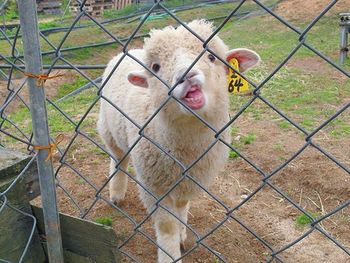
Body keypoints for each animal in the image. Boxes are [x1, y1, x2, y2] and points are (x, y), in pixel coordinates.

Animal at [97, 20, 262, 263]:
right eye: (156, 67)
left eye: (211, 56)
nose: (186, 75)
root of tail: (127, 52)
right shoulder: (153, 186)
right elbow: (167, 225)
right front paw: (170, 252)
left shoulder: (190, 179)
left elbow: (182, 207)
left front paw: (182, 235)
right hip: (108, 129)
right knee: (118, 159)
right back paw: (116, 193)